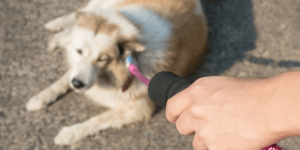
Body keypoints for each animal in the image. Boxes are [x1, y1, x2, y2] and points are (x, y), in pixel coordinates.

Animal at [25, 0, 207, 145]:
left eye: (102, 59)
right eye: (79, 51)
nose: (77, 84)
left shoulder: (139, 108)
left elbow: (99, 119)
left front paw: (69, 134)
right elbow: (62, 81)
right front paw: (40, 98)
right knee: (82, 12)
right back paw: (56, 28)